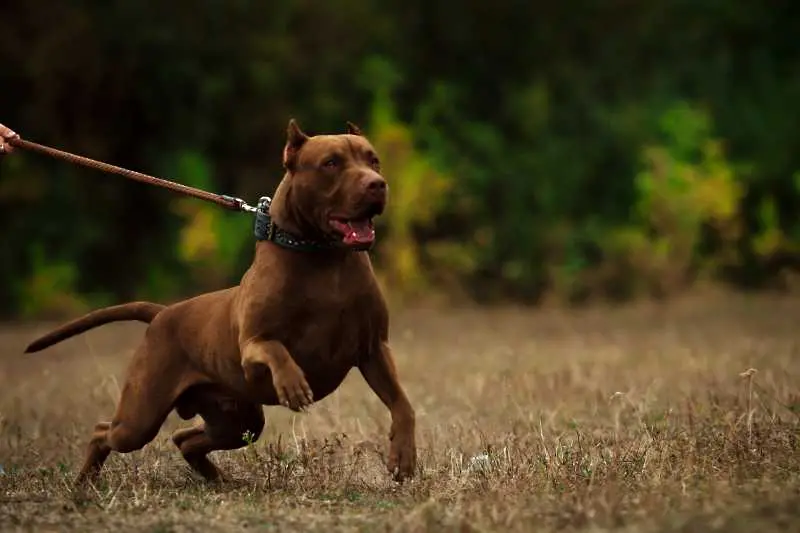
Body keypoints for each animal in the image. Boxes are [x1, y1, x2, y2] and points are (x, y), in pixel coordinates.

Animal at [21, 119, 416, 486]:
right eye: (331, 163)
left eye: (373, 160)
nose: (377, 184)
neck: (325, 257)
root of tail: (164, 313)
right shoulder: (251, 347)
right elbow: (276, 349)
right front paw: (292, 383)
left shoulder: (374, 349)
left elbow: (402, 403)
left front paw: (404, 456)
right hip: (141, 418)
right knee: (104, 432)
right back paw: (84, 483)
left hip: (238, 420)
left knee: (185, 439)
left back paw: (219, 480)